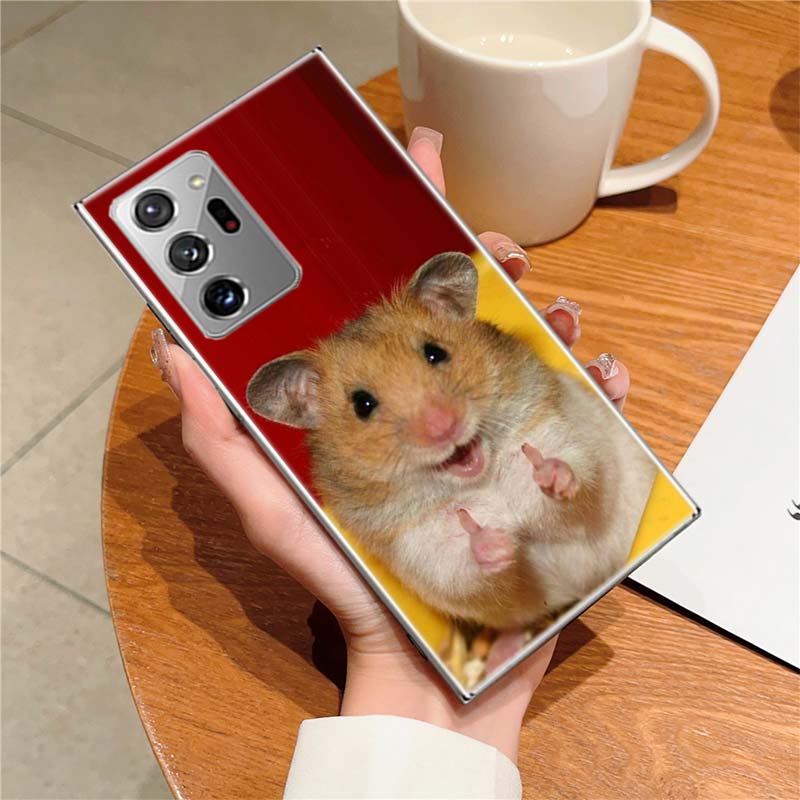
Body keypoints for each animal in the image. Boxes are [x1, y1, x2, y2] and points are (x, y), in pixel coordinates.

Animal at [247, 252, 656, 631]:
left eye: (435, 352)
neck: (481, 480)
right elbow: (465, 569)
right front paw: (493, 541)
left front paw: (549, 472)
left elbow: (573, 481)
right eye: (362, 405)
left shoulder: (562, 436)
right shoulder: (423, 550)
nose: (445, 427)